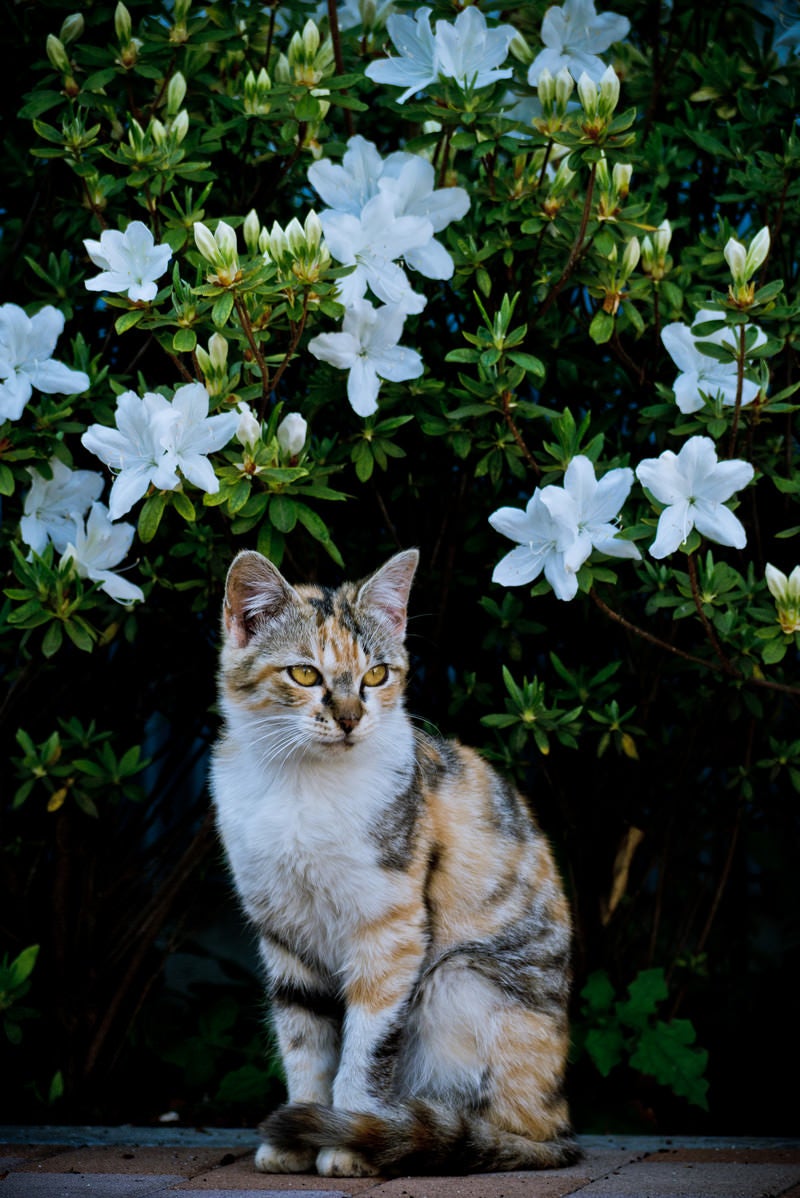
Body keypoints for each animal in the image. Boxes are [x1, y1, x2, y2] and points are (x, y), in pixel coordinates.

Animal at [209, 548, 577, 1178]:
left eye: (377, 675)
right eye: (304, 674)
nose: (351, 717)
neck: (303, 784)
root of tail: (560, 1127)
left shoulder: (392, 932)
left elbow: (365, 1049)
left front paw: (347, 1143)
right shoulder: (283, 931)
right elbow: (303, 1041)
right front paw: (295, 1139)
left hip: (459, 978)